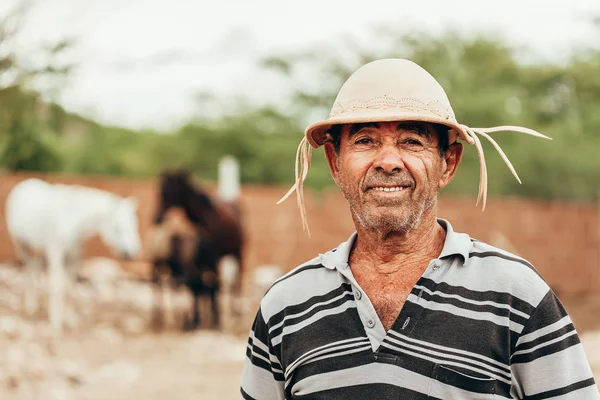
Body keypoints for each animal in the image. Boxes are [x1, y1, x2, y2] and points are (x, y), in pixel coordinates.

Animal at [4, 178, 142, 334]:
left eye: (135, 224)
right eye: (118, 227)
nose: (133, 253)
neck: (71, 221)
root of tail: (24, 183)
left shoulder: (74, 256)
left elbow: (69, 285)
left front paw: (69, 319)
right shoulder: (55, 253)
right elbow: (57, 285)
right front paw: (55, 323)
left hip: (38, 247)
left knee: (35, 267)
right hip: (22, 245)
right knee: (28, 269)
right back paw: (30, 306)